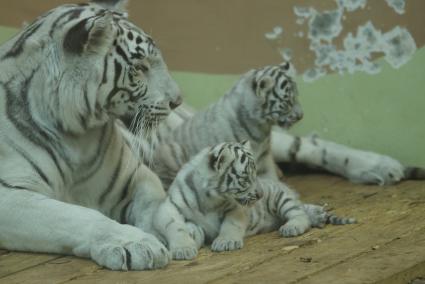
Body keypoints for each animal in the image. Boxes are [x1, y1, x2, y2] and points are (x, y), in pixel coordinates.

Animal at [0, 0, 181, 270]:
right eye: (140, 67)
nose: (177, 101)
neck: (75, 134)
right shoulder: (9, 194)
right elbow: (75, 216)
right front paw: (137, 243)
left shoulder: (136, 177)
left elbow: (154, 204)